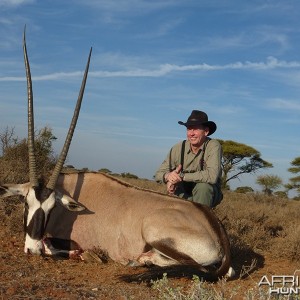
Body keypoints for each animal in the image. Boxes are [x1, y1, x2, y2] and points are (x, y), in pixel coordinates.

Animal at [0, 29, 234, 280]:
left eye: (51, 209)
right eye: (26, 203)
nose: (32, 249)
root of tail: (216, 229)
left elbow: (58, 246)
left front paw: (85, 254)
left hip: (152, 229)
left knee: (196, 266)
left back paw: (139, 261)